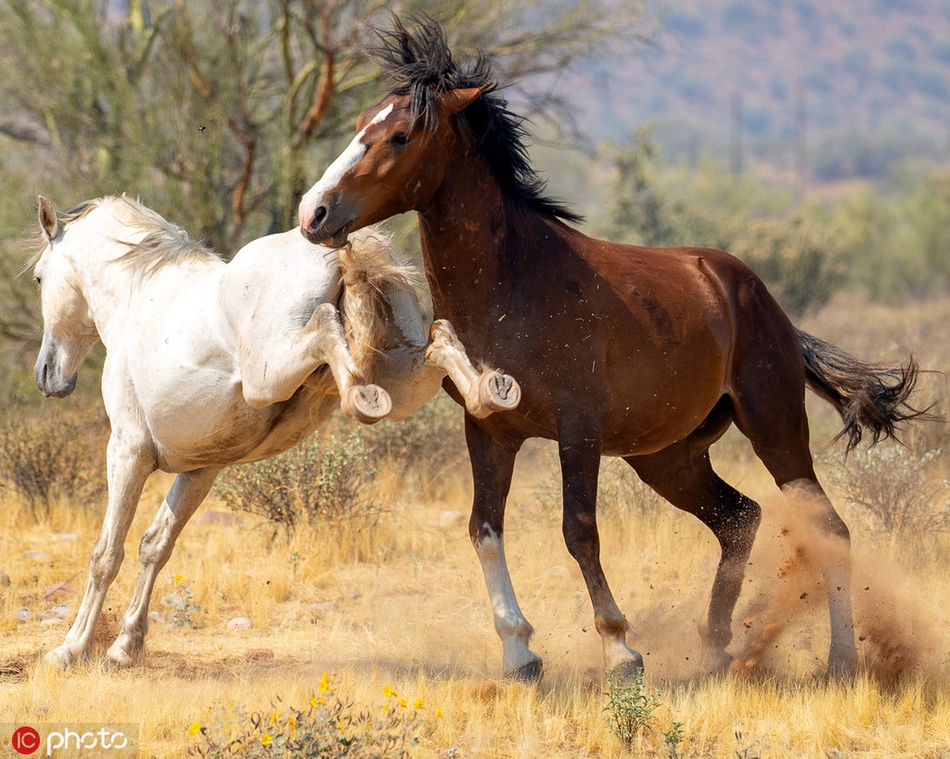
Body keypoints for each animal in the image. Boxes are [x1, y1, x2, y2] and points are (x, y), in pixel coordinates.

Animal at [31, 196, 520, 672]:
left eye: (38, 277)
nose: (47, 375)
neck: (137, 296)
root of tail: (344, 247)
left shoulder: (127, 452)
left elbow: (105, 555)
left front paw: (70, 650)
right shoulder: (202, 468)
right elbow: (156, 545)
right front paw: (125, 647)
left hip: (269, 377)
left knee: (326, 327)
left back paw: (361, 397)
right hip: (401, 378)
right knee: (440, 340)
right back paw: (490, 391)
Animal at [300, 16, 928, 684]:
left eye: (399, 135)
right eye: (360, 120)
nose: (314, 212)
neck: (513, 281)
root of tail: (762, 300)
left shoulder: (579, 429)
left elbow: (579, 531)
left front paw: (620, 649)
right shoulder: (489, 431)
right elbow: (484, 529)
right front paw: (520, 653)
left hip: (774, 428)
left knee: (829, 527)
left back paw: (841, 659)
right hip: (668, 457)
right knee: (740, 519)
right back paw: (714, 650)